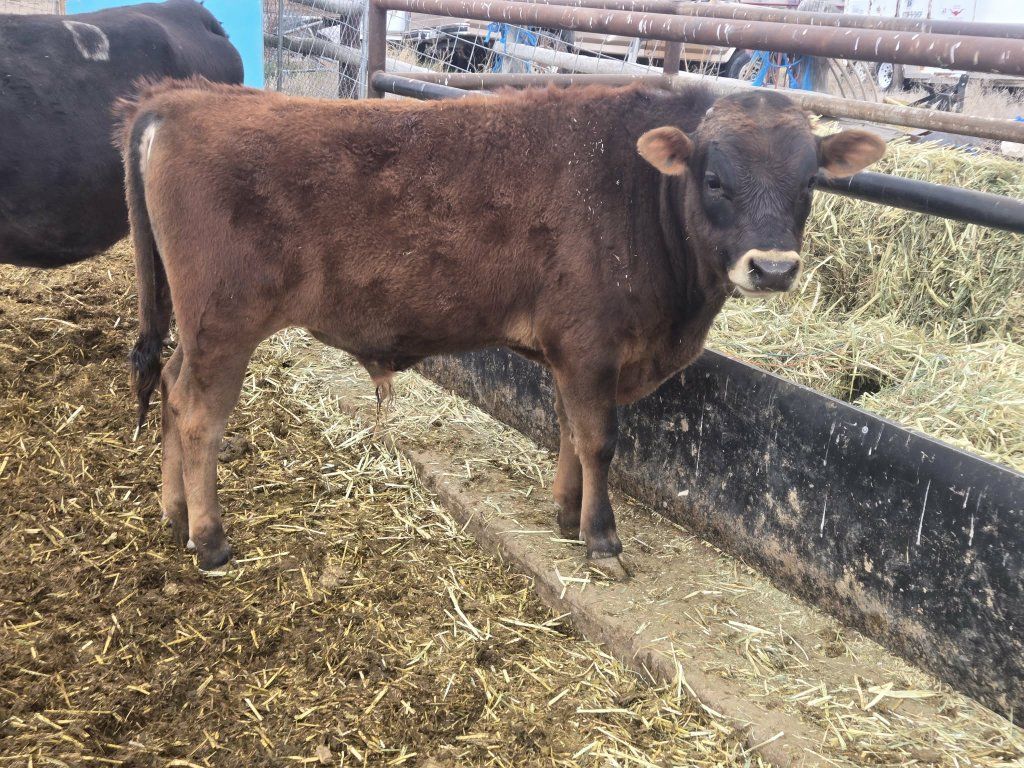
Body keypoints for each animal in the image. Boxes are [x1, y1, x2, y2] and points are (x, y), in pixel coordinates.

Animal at [119, 79, 885, 574]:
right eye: (715, 178)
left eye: (810, 181)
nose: (774, 267)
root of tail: (182, 100)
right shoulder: (591, 343)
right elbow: (601, 440)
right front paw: (602, 540)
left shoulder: (574, 355)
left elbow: (571, 431)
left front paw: (566, 513)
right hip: (224, 323)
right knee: (198, 414)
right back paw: (210, 540)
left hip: (196, 329)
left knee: (171, 391)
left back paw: (172, 514)